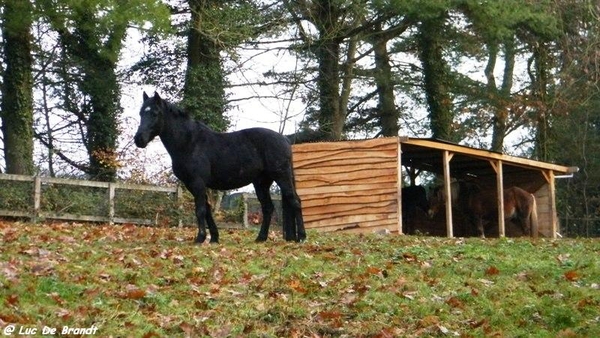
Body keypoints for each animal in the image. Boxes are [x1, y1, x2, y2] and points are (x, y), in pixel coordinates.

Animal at [135, 92, 304, 243]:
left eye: (155, 113)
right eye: (141, 113)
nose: (138, 139)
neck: (190, 143)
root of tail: (285, 139)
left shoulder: (197, 183)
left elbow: (200, 210)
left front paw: (200, 238)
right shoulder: (191, 184)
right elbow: (207, 210)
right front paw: (214, 238)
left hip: (282, 176)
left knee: (295, 201)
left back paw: (301, 237)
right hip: (261, 183)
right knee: (268, 208)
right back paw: (260, 238)